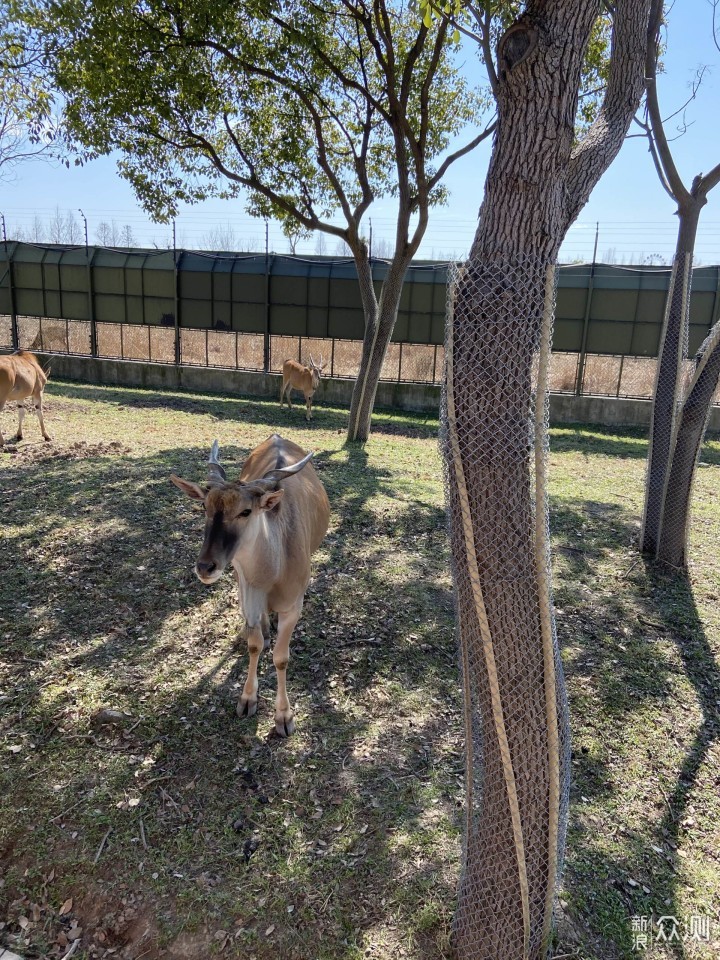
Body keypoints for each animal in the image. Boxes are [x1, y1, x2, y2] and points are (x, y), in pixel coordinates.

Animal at [169, 436, 330, 736]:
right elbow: (254, 646)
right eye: (204, 507)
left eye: (245, 511)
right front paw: (247, 699)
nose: (205, 567)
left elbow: (281, 657)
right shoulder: (248, 598)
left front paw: (284, 717)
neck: (272, 572)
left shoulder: (293, 607)